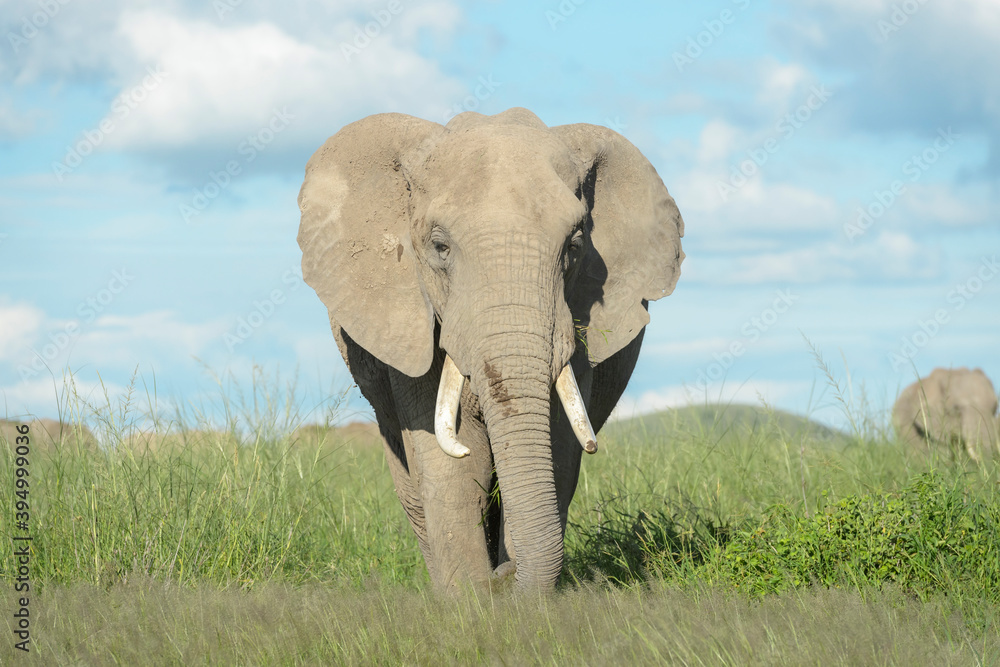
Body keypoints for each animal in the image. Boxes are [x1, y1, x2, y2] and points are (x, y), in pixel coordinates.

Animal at [297, 107, 685, 592]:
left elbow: (556, 455)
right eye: (439, 247)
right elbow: (458, 468)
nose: (506, 573)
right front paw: (471, 603)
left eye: (575, 247)